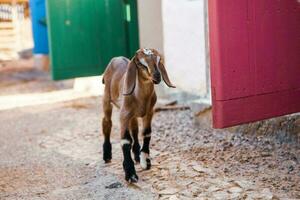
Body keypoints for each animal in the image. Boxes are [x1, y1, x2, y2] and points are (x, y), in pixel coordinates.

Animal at [101, 48, 175, 183]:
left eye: (159, 60)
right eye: (141, 64)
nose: (157, 76)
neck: (140, 98)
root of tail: (116, 58)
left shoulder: (149, 112)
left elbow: (146, 133)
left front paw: (145, 161)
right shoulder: (124, 114)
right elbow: (125, 140)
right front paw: (130, 174)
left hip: (133, 115)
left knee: (134, 130)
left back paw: (136, 155)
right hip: (107, 99)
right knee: (107, 123)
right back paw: (107, 155)